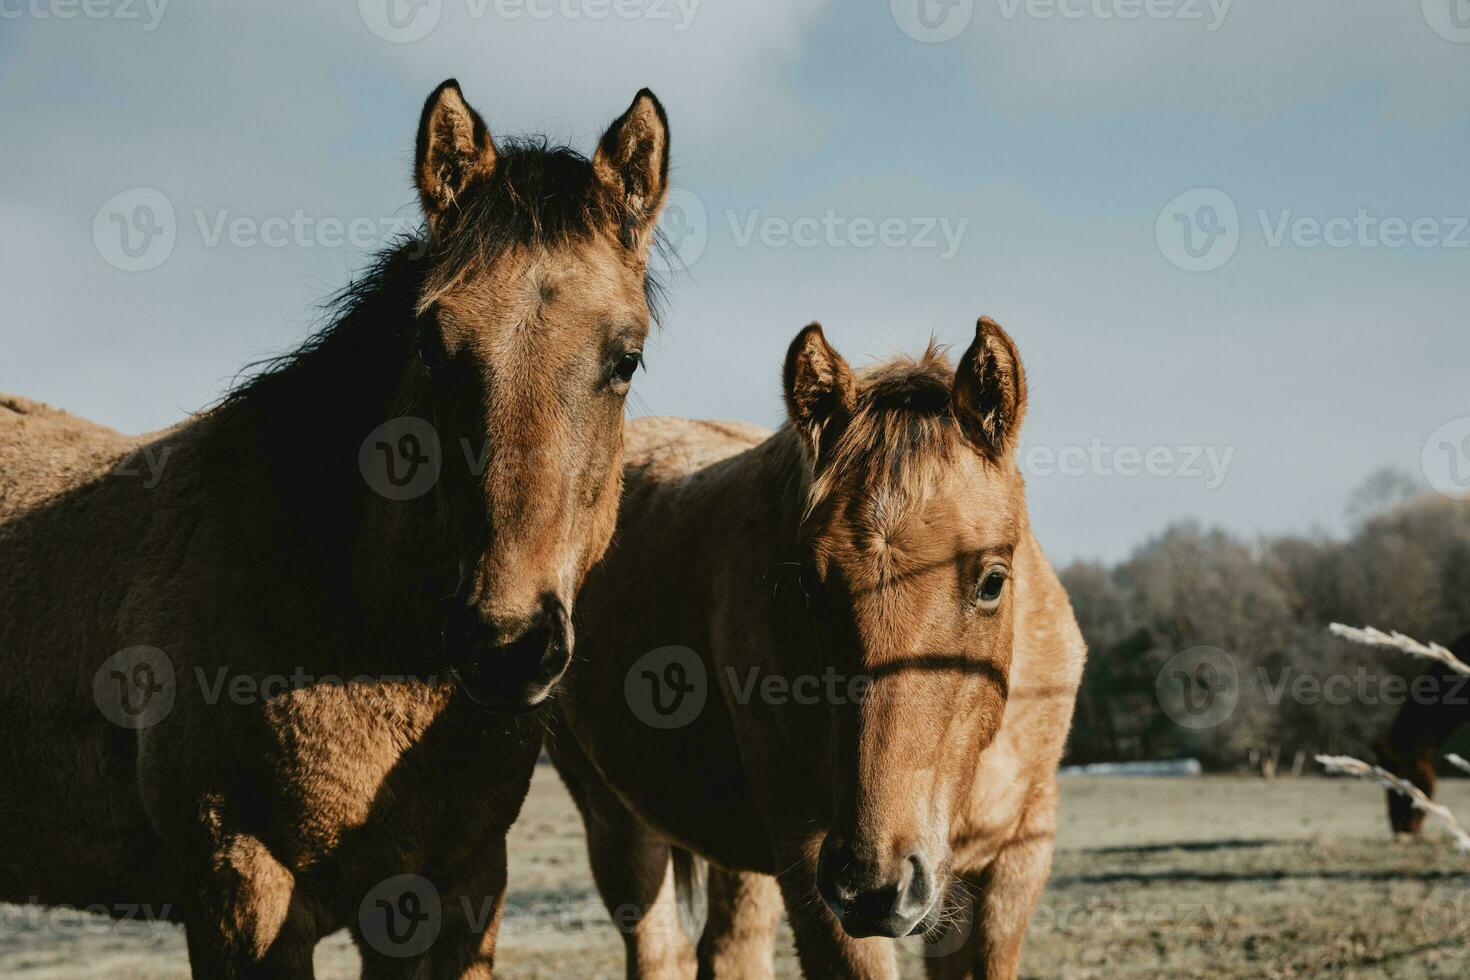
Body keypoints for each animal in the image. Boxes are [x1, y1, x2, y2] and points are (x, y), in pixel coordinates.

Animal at [546, 318, 1087, 975]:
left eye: (992, 581)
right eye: (808, 583)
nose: (875, 885)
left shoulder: (1014, 862)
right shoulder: (811, 868)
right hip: (617, 822)